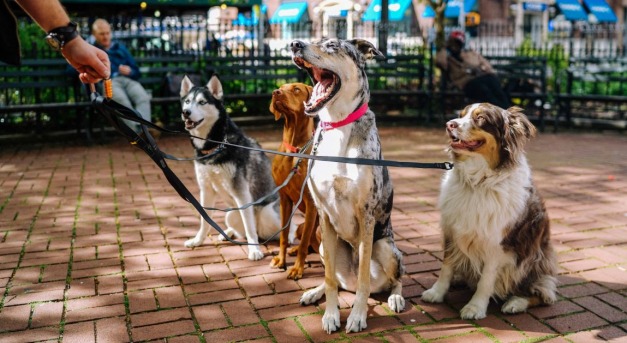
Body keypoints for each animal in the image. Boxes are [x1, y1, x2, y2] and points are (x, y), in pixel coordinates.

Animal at [178, 76, 294, 260]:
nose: (186, 112)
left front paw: (254, 250)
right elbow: (204, 220)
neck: (215, 146)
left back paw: (287, 237)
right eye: (187, 101)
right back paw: (229, 233)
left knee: (286, 226)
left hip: (268, 214)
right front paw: (198, 240)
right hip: (231, 214)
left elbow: (249, 226)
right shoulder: (206, 189)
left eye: (202, 102)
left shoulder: (242, 192)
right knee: (244, 230)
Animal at [270, 82, 322, 280]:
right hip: (299, 226)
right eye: (280, 87)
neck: (294, 150)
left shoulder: (310, 203)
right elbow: (284, 236)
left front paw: (297, 269)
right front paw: (281, 259)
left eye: (296, 89)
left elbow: (304, 243)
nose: (275, 93)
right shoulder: (284, 198)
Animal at [290, 38, 404, 336]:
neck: (338, 125)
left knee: (395, 279)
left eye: (331, 45)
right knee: (337, 280)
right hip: (321, 244)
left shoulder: (366, 215)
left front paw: (357, 317)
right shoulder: (324, 215)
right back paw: (314, 292)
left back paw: (396, 297)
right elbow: (330, 279)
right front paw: (331, 315)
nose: (294, 44)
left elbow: (364, 278)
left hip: (386, 248)